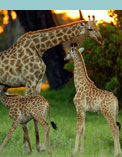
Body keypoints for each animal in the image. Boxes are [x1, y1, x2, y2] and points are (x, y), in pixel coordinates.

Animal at [0, 15, 103, 151]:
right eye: (90, 29)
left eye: (97, 27)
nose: (101, 40)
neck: (39, 47)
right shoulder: (29, 80)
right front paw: (26, 148)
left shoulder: (37, 81)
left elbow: (35, 116)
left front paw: (38, 146)